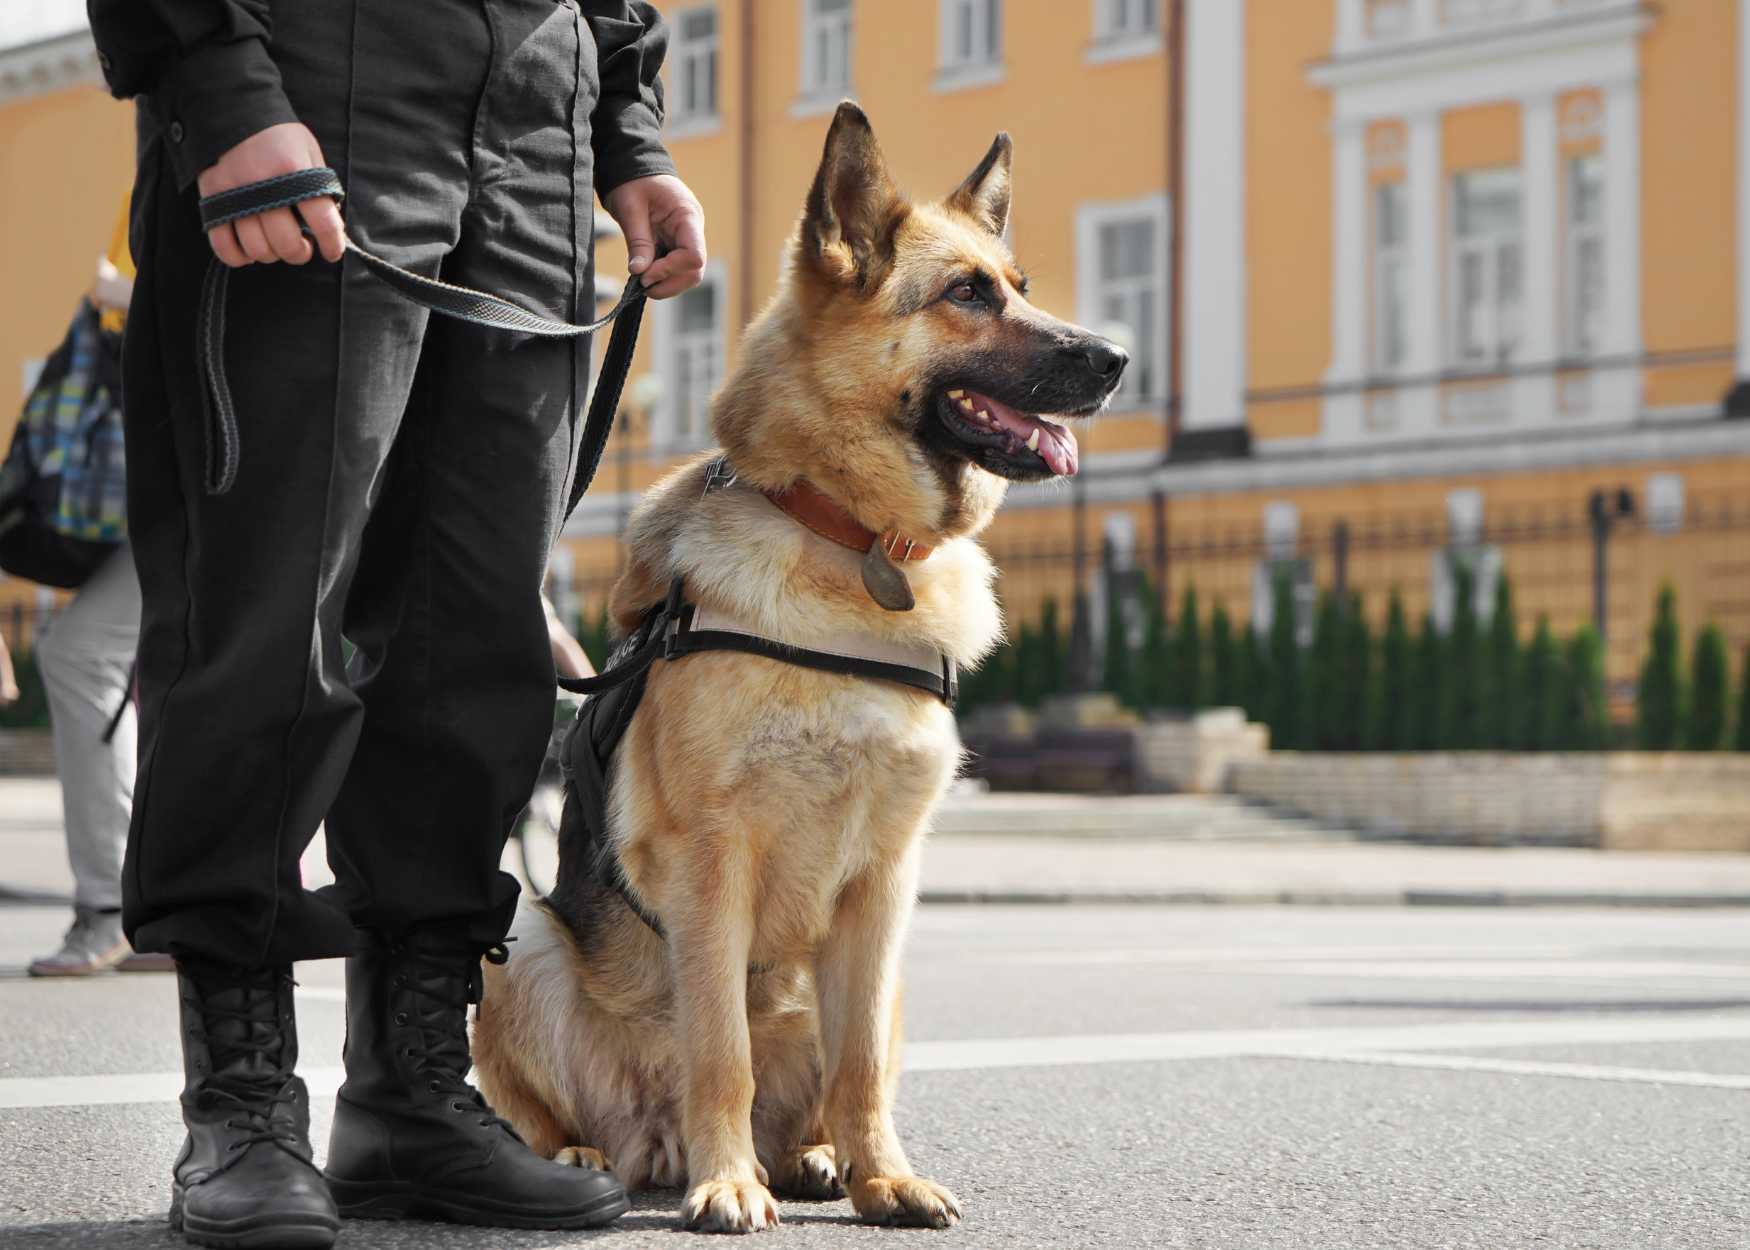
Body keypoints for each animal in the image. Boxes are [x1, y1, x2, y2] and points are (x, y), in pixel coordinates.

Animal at [469, 104, 1120, 1225]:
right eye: (966, 294)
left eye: (1020, 284)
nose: (1119, 357)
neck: (851, 543)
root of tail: (648, 1142)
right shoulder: (712, 862)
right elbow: (718, 1045)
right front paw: (726, 1183)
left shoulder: (884, 885)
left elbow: (859, 1065)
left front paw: (882, 1175)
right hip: (517, 943)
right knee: (561, 1107)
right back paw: (593, 1158)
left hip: (886, 978)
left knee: (835, 1074)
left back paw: (813, 1157)